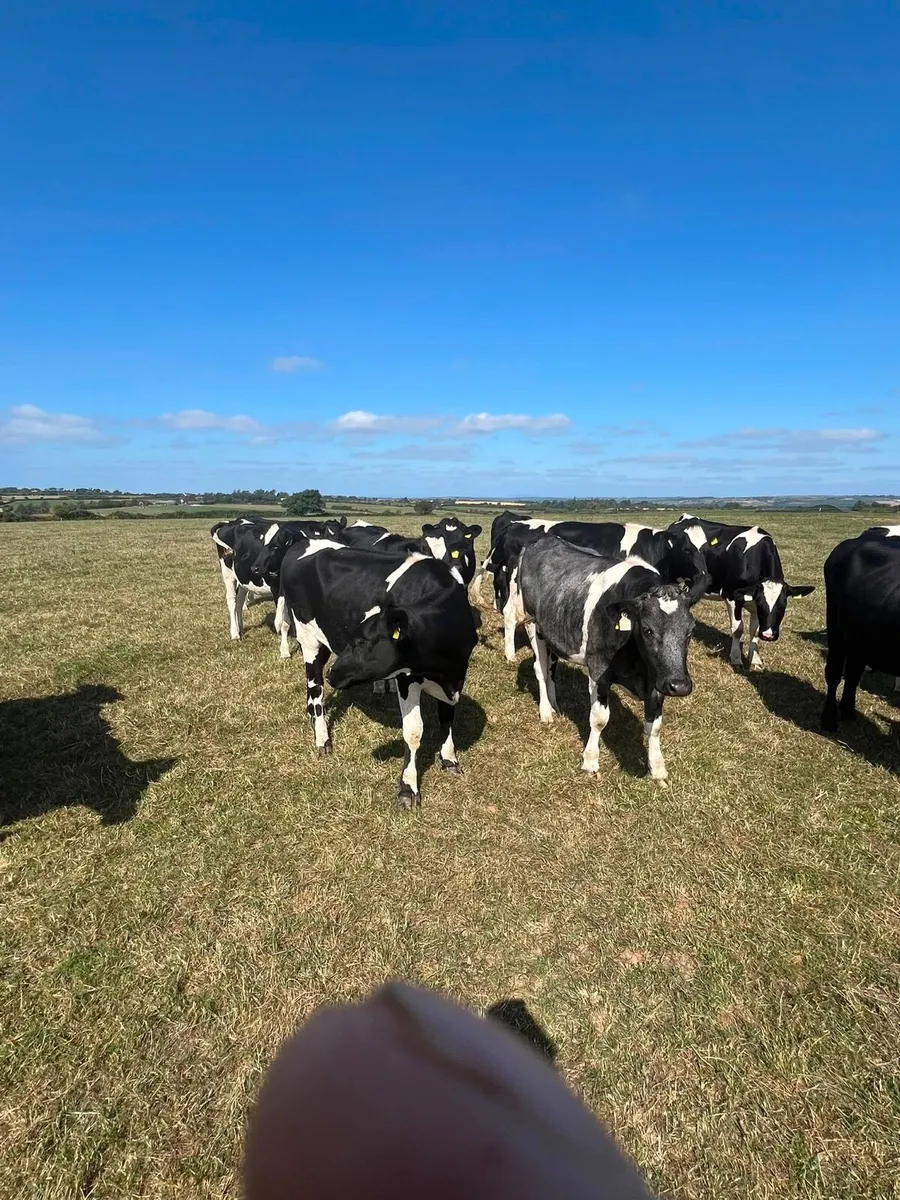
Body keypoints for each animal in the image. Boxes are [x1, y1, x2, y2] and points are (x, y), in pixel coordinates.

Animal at [279, 544, 478, 807]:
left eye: (362, 641)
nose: (334, 674)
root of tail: (301, 545)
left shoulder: (456, 675)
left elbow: (447, 717)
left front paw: (449, 759)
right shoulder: (407, 677)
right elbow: (413, 730)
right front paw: (408, 788)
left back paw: (311, 712)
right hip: (307, 636)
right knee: (315, 685)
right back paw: (322, 737)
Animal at [517, 536, 696, 786]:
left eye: (691, 631)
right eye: (648, 630)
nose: (680, 686)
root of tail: (542, 540)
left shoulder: (658, 678)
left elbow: (654, 726)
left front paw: (658, 768)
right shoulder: (598, 670)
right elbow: (599, 718)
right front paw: (590, 760)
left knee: (552, 668)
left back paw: (554, 704)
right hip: (532, 623)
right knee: (540, 670)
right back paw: (545, 712)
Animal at [668, 514, 814, 669]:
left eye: (782, 607)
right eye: (763, 605)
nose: (768, 635)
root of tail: (685, 517)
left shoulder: (755, 603)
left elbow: (754, 631)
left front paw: (755, 659)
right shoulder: (732, 597)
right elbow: (738, 629)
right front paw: (736, 658)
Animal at [822, 525, 900, 730]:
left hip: (861, 639)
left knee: (853, 672)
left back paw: (848, 712)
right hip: (836, 630)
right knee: (834, 671)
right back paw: (829, 719)